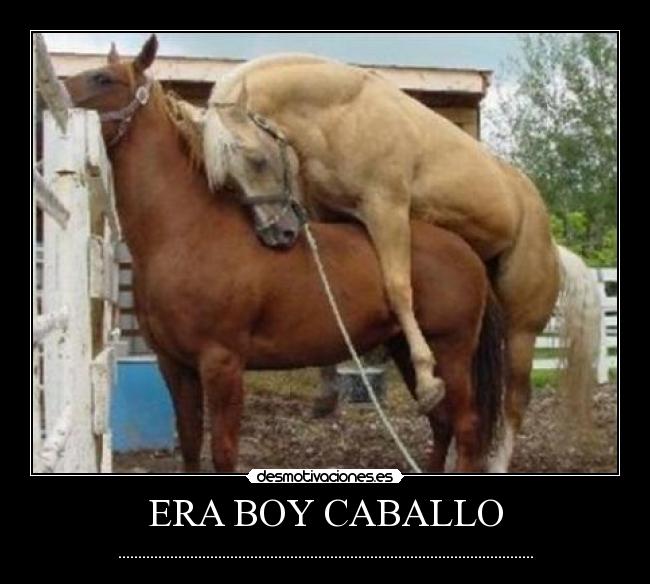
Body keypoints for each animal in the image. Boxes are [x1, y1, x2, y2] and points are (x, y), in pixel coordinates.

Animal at [63, 39, 506, 473]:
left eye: (102, 78)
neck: (187, 232)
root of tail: (467, 253)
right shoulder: (175, 366)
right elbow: (189, 447)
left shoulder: (222, 363)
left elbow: (223, 453)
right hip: (405, 350)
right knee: (442, 422)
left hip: (450, 352)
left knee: (466, 426)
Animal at [201, 45, 601, 471]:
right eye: (226, 180)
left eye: (257, 159)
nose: (276, 233)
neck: (344, 113)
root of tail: (551, 246)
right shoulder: (333, 214)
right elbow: (329, 294)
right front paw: (327, 393)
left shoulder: (386, 209)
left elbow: (398, 288)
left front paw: (427, 381)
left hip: (522, 329)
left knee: (515, 400)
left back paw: (495, 462)